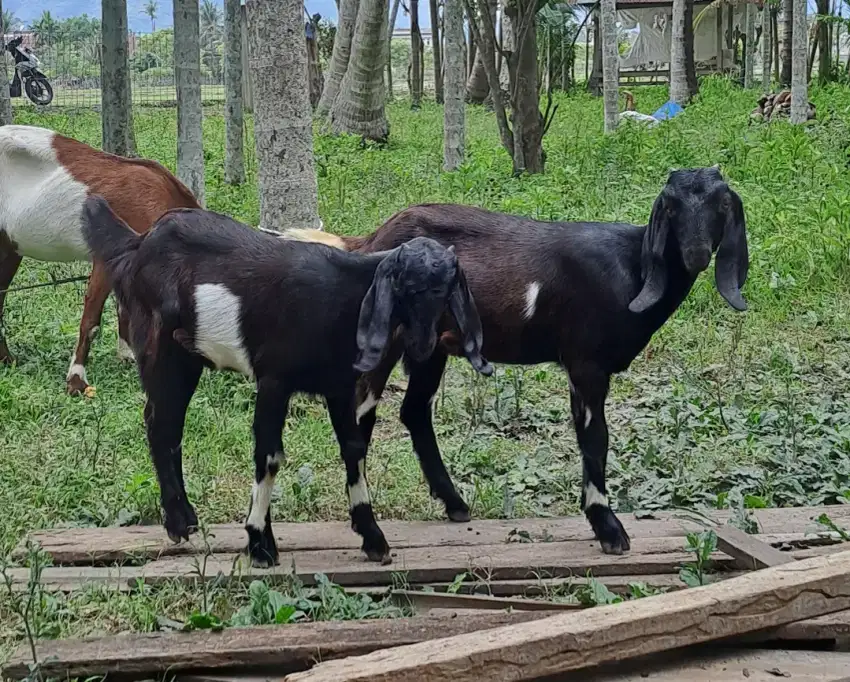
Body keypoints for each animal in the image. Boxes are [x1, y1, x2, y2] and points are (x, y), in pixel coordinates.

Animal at [81, 195, 490, 564]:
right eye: (406, 288)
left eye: (447, 290)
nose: (423, 346)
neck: (340, 298)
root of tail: (138, 245)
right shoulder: (274, 380)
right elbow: (270, 455)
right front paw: (259, 543)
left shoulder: (339, 386)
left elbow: (354, 448)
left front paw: (372, 536)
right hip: (159, 349)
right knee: (160, 423)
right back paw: (178, 523)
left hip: (187, 356)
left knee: (170, 426)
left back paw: (186, 518)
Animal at [294, 167, 748, 556]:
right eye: (670, 207)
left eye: (722, 204)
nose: (695, 253)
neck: (632, 268)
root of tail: (369, 242)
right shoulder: (586, 362)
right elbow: (595, 439)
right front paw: (608, 528)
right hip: (384, 338)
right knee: (361, 418)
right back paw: (370, 532)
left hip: (430, 346)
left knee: (414, 411)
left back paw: (454, 503)